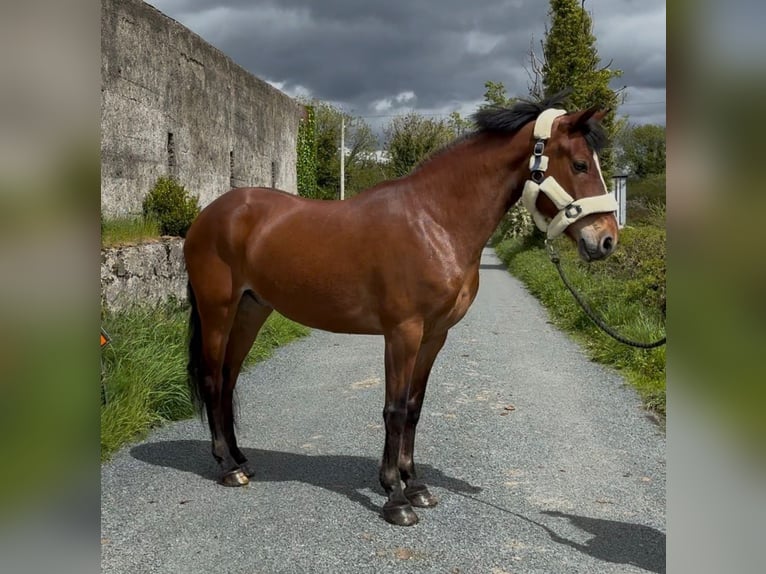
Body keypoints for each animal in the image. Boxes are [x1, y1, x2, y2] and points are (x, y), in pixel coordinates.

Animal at [183, 93, 619, 526]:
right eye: (580, 164)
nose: (606, 241)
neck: (434, 221)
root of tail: (211, 213)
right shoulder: (402, 332)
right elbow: (393, 409)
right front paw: (395, 496)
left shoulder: (434, 335)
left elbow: (412, 407)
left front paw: (415, 485)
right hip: (218, 311)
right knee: (213, 380)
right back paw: (227, 468)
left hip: (251, 312)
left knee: (229, 381)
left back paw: (241, 459)